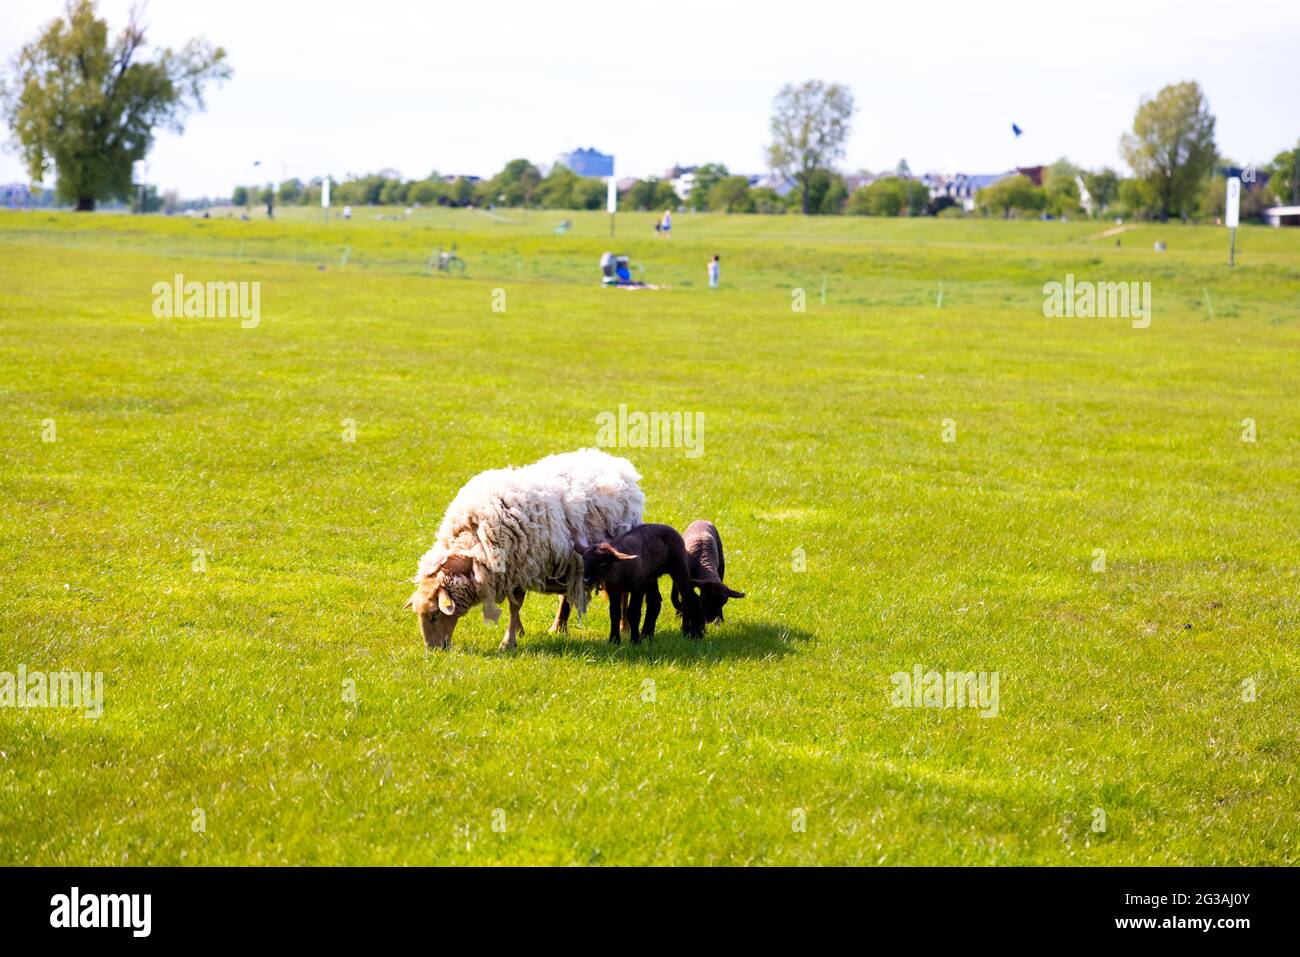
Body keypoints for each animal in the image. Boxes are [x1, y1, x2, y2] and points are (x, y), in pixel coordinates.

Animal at [405, 449, 644, 650]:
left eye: (434, 614)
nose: (434, 649)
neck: (473, 543)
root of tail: (616, 462)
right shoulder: (512, 571)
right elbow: (515, 604)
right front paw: (518, 631)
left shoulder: (520, 565)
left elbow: (514, 605)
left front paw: (508, 641)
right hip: (572, 562)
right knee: (566, 596)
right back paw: (558, 627)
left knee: (622, 590)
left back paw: (624, 627)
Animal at [576, 523, 706, 644]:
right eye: (584, 560)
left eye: (603, 563)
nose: (586, 580)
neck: (618, 571)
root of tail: (667, 526)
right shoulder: (614, 590)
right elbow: (614, 613)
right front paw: (614, 640)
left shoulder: (637, 586)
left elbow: (633, 612)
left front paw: (635, 641)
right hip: (651, 577)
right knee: (655, 602)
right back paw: (648, 635)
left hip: (678, 566)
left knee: (690, 598)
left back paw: (695, 634)